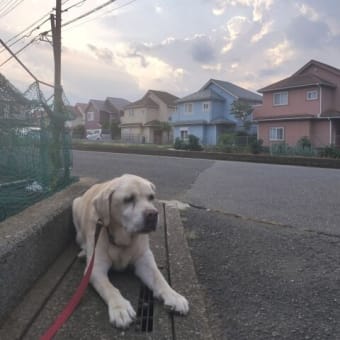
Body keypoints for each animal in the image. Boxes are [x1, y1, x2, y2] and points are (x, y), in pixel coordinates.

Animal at [72, 174, 189, 328]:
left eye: (151, 197)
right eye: (128, 199)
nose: (153, 214)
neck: (123, 240)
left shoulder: (144, 260)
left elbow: (159, 278)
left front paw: (174, 295)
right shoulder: (95, 268)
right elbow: (111, 288)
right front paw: (120, 308)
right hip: (75, 206)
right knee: (80, 238)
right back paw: (83, 252)